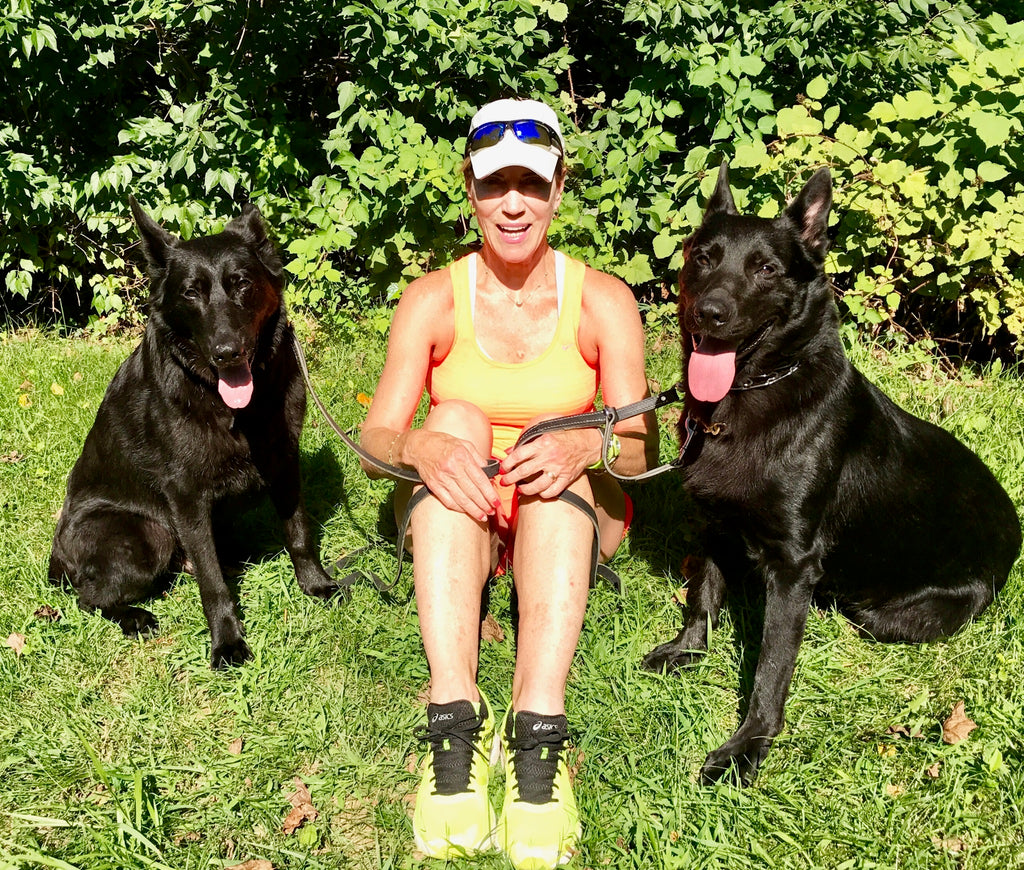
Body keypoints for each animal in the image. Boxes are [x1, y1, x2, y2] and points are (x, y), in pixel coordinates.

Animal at [50, 199, 339, 667]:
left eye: (241, 284)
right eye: (190, 293)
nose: (227, 353)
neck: (237, 409)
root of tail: (57, 558)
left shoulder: (284, 462)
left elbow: (298, 532)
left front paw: (315, 584)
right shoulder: (186, 498)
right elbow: (213, 584)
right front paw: (227, 641)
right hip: (150, 536)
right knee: (88, 598)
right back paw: (134, 616)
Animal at [643, 159, 1019, 781]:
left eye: (766, 269)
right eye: (704, 258)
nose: (709, 314)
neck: (751, 396)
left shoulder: (793, 564)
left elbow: (772, 665)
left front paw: (748, 746)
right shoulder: (717, 525)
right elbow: (704, 593)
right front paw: (689, 650)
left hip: (891, 612)